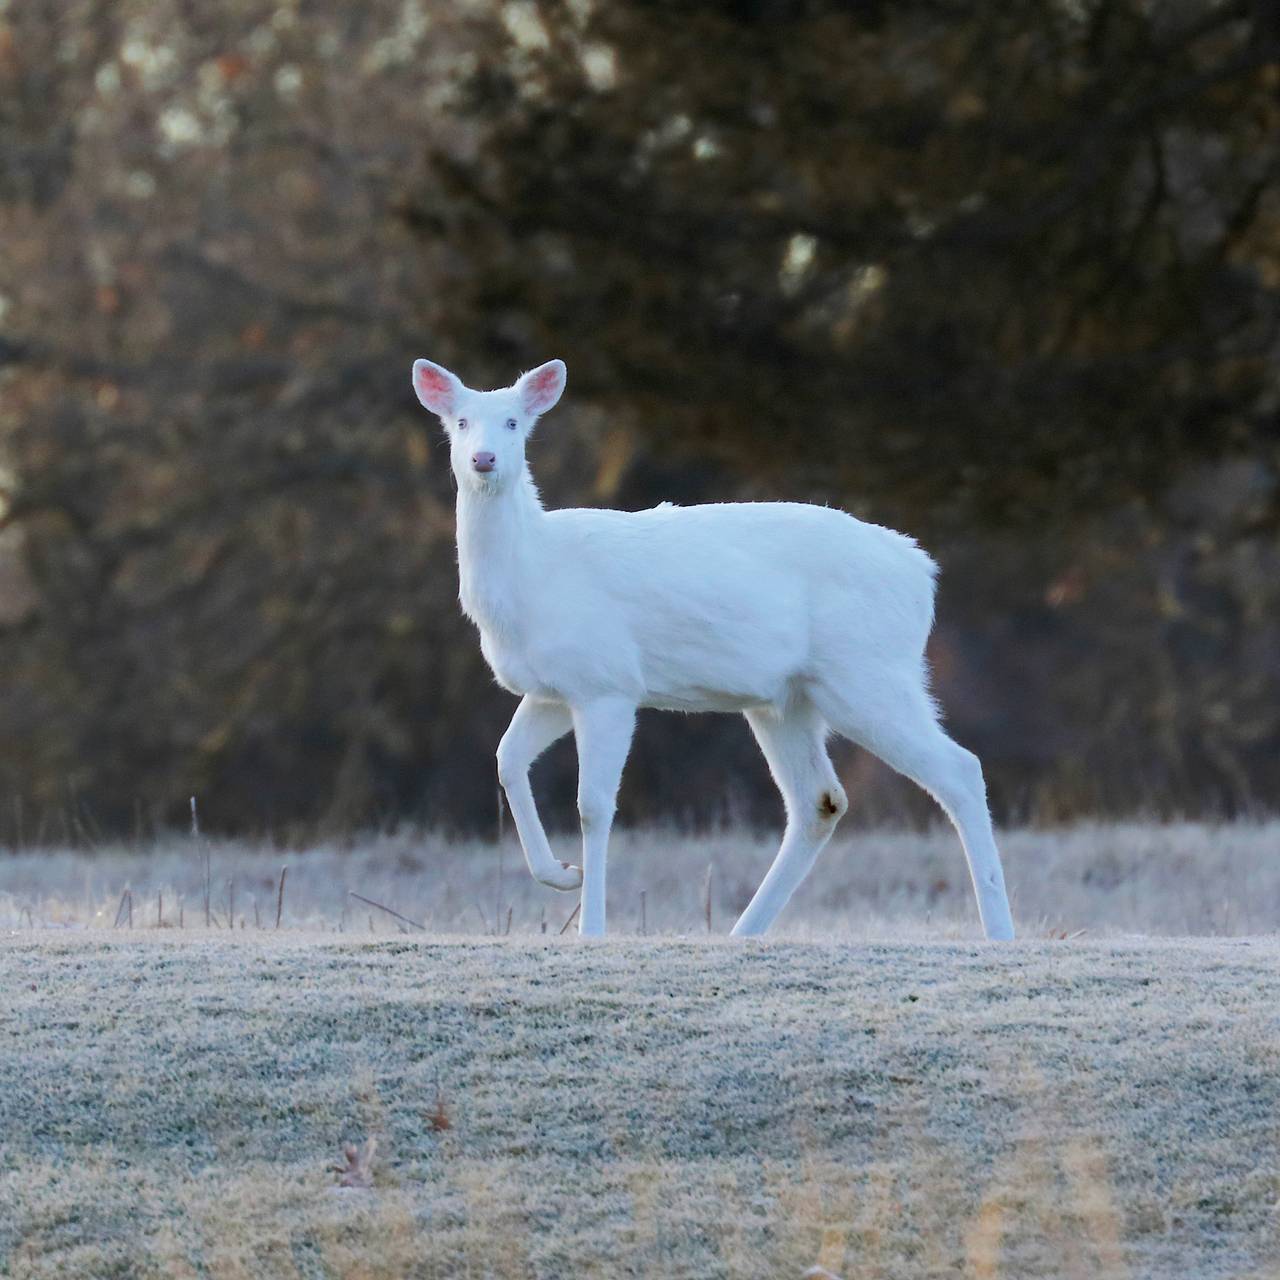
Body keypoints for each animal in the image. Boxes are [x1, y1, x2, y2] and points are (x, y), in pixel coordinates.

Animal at [414, 358, 1013, 942]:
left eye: (514, 422)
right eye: (461, 422)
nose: (484, 458)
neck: (533, 576)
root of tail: (922, 574)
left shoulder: (609, 682)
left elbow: (593, 807)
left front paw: (591, 928)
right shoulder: (555, 690)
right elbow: (506, 758)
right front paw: (560, 874)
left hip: (867, 674)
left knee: (961, 770)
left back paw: (999, 930)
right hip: (789, 699)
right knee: (821, 801)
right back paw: (742, 932)